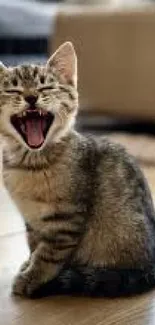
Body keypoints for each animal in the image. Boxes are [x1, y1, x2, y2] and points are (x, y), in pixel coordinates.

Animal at [0, 41, 155, 298]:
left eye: (46, 86)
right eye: (13, 90)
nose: (31, 97)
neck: (30, 164)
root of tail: (150, 266)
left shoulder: (66, 219)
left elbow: (48, 254)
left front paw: (32, 277)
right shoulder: (32, 221)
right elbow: (34, 244)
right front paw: (28, 264)